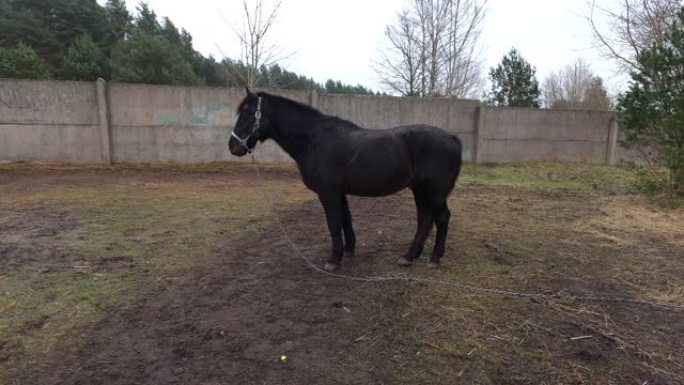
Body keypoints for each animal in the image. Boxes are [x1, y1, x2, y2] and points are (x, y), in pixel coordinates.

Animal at [228, 89, 460, 272]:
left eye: (248, 114)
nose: (233, 146)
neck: (314, 140)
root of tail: (452, 138)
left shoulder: (328, 192)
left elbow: (333, 222)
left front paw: (334, 259)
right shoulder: (339, 192)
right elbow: (345, 218)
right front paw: (349, 249)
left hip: (434, 192)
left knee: (442, 218)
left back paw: (434, 258)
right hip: (420, 190)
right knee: (425, 219)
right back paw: (409, 256)